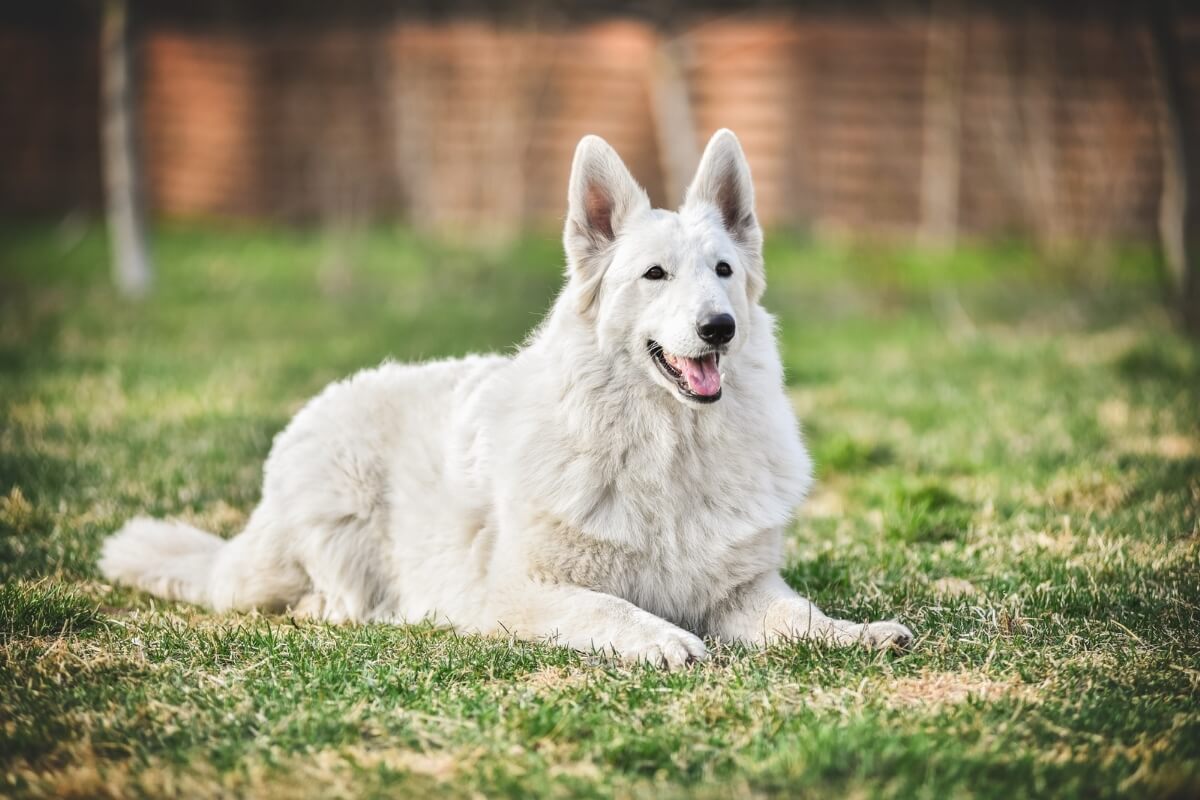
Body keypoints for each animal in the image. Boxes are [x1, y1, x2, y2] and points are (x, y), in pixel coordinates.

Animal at [100, 133, 907, 671]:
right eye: (654, 275)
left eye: (723, 271)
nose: (720, 328)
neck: (665, 451)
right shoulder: (520, 591)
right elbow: (608, 604)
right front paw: (663, 637)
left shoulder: (743, 591)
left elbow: (799, 613)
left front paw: (857, 633)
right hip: (330, 519)